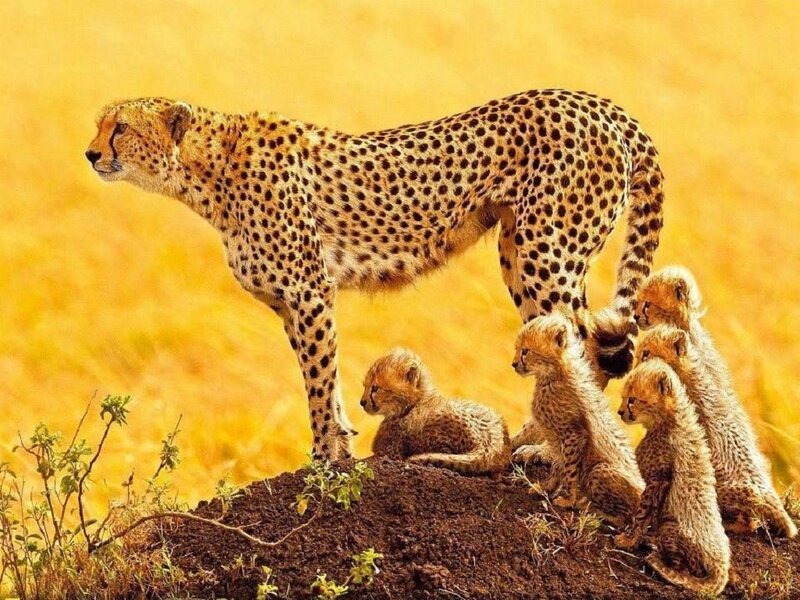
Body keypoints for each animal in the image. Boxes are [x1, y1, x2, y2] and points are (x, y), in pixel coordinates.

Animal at [86, 89, 665, 459]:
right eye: (100, 124)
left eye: (122, 127)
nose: (90, 153)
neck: (209, 170)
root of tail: (599, 103)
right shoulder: (291, 303)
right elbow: (321, 378)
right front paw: (339, 442)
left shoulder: (309, 291)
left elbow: (320, 379)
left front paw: (327, 458)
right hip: (519, 251)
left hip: (547, 251)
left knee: (580, 346)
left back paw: (544, 446)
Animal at [617, 359, 730, 596]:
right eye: (623, 397)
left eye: (632, 399)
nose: (620, 411)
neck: (670, 419)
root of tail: (723, 567)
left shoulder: (658, 481)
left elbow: (642, 513)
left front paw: (628, 540)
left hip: (671, 526)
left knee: (684, 569)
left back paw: (660, 564)